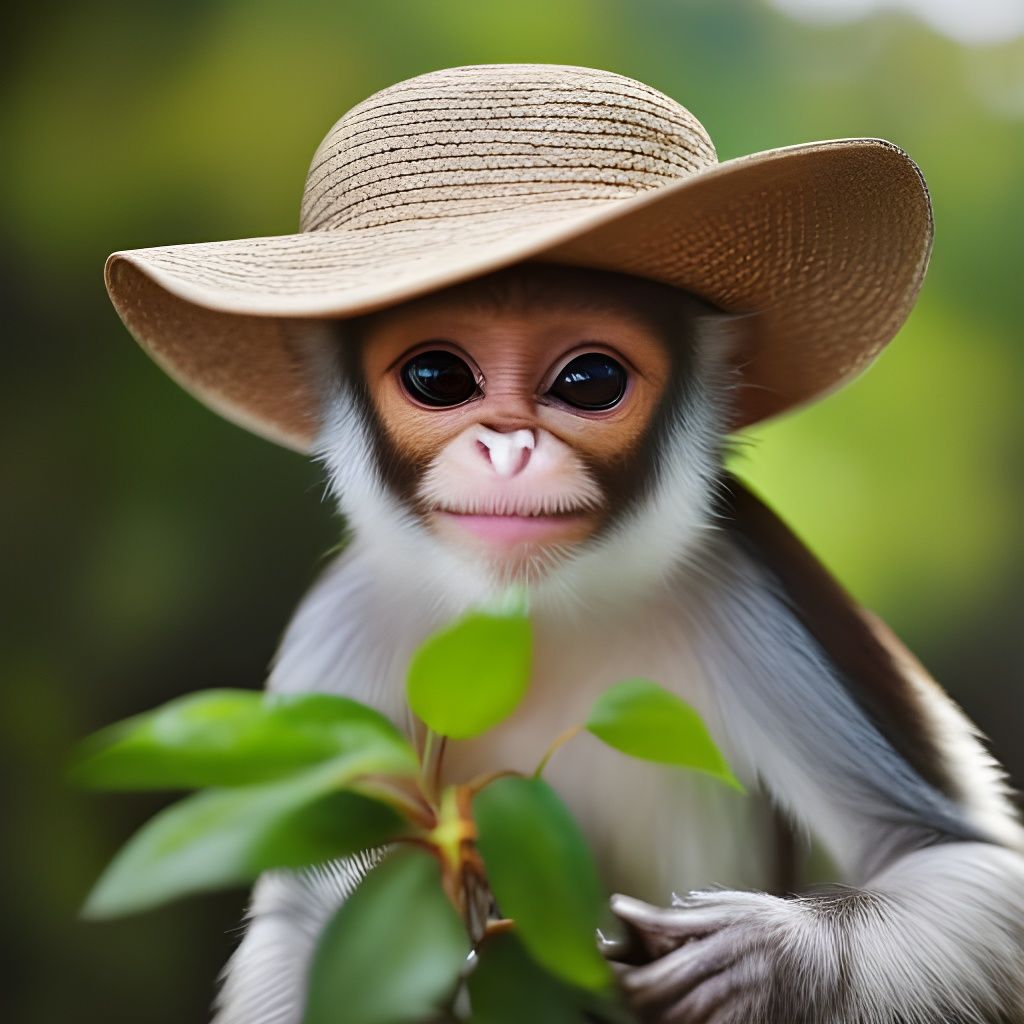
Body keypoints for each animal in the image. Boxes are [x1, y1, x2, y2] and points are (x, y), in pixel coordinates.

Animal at [207, 262, 1024, 1024]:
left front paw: (762, 956)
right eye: (437, 377)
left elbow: (956, 857)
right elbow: (298, 922)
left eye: (590, 380)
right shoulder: (340, 627)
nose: (509, 451)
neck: (525, 623)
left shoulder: (750, 584)